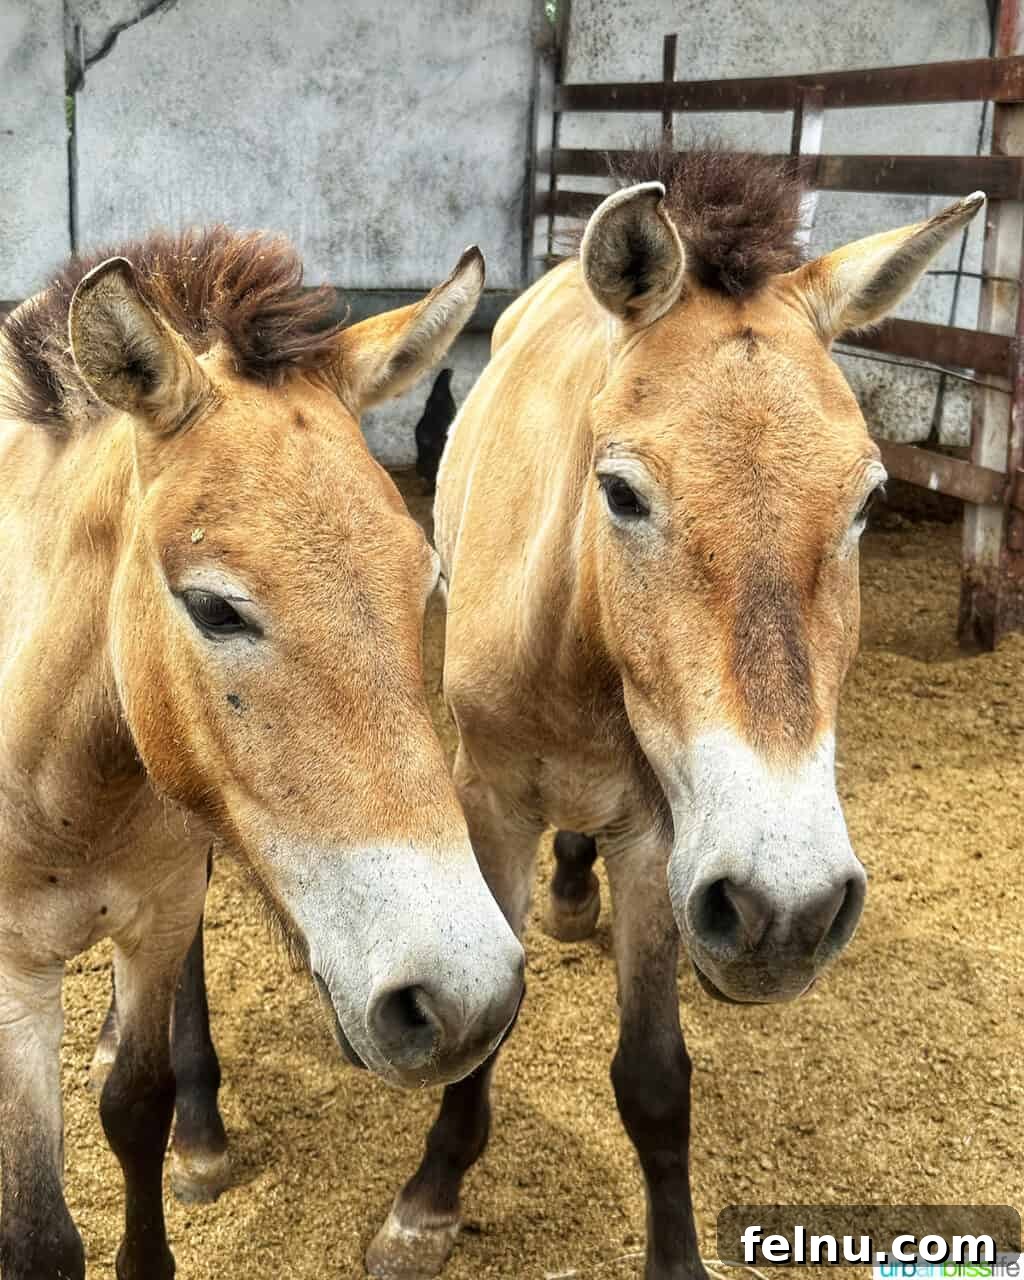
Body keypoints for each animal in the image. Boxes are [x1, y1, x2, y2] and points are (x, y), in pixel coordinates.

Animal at [0, 226, 526, 1280]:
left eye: (427, 578)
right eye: (213, 607)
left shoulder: (160, 916)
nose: (467, 998)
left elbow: (137, 1107)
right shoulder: (12, 978)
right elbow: (38, 1230)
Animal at [364, 149, 984, 1280]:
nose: (790, 909)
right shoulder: (490, 808)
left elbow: (654, 1076)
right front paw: (427, 1203)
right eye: (619, 491)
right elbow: (489, 1019)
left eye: (869, 501)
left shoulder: (661, 834)